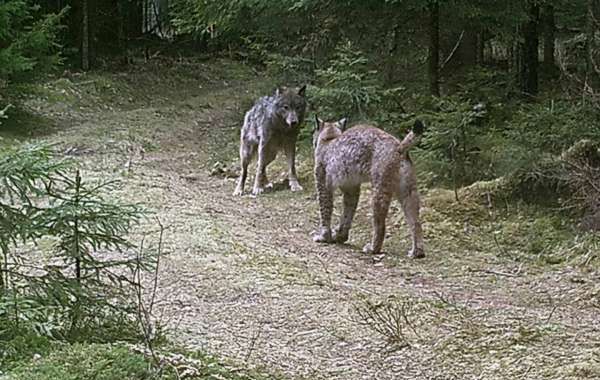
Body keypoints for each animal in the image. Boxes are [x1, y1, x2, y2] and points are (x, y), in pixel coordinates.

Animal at [312, 116, 424, 258]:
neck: (329, 137)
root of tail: (397, 146)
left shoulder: (323, 184)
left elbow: (325, 211)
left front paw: (324, 237)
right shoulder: (351, 188)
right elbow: (347, 213)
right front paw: (340, 236)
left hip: (379, 187)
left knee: (380, 224)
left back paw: (373, 248)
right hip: (408, 190)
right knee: (416, 222)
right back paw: (417, 252)